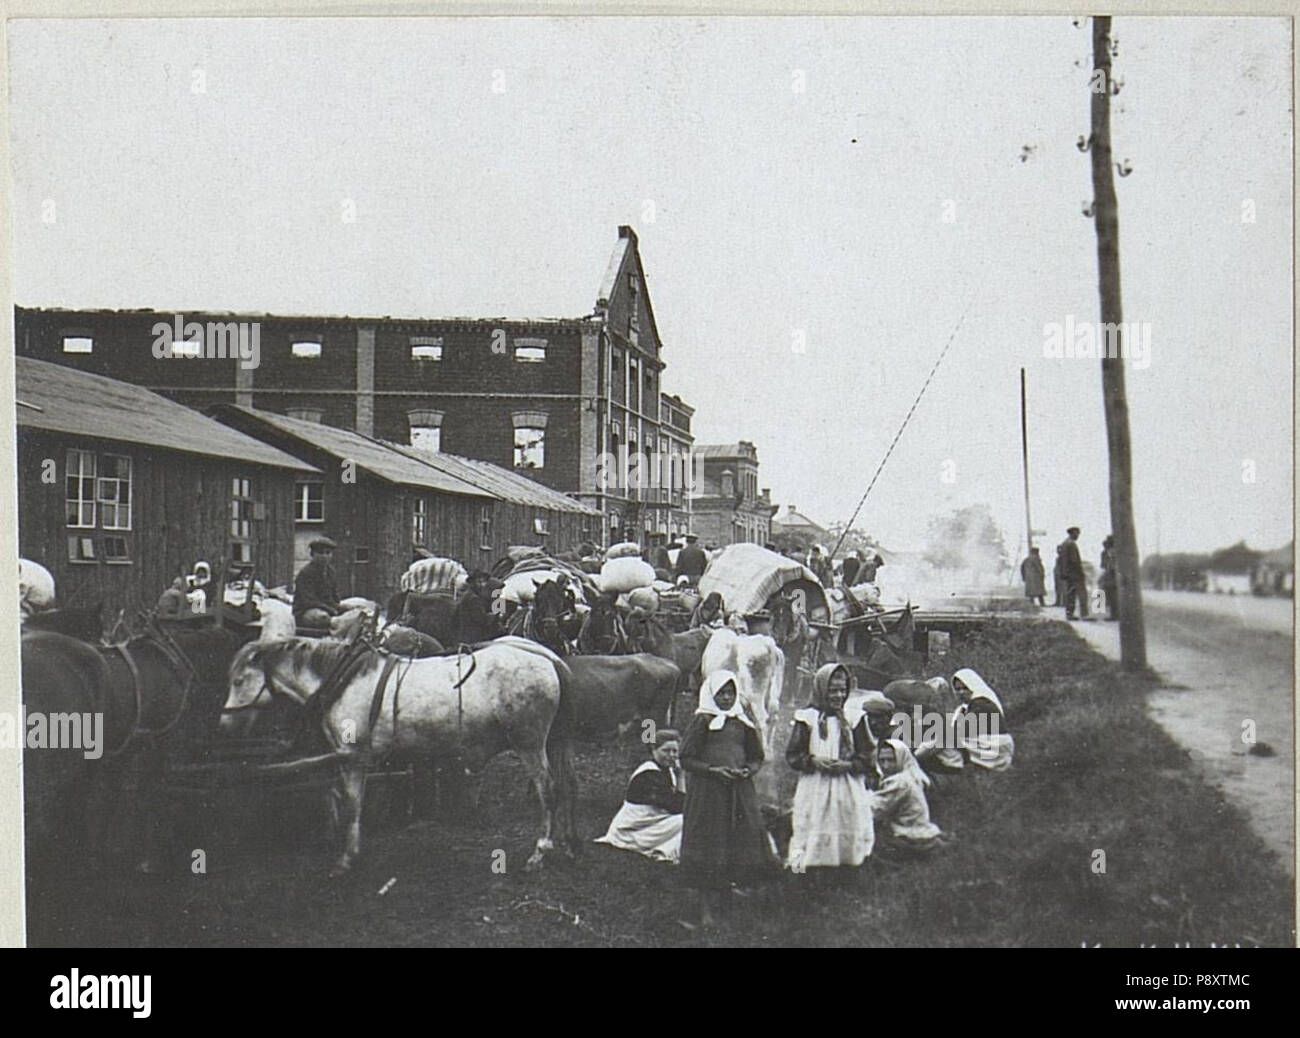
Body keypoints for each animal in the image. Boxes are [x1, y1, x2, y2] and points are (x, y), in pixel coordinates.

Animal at [223, 637, 579, 874]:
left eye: (239, 680)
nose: (224, 724)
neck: (344, 680)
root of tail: (548, 658)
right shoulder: (347, 758)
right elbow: (340, 797)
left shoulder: (353, 756)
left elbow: (352, 803)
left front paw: (347, 857)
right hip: (552, 741)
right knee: (564, 787)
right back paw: (566, 844)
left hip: (529, 743)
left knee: (548, 790)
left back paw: (540, 851)